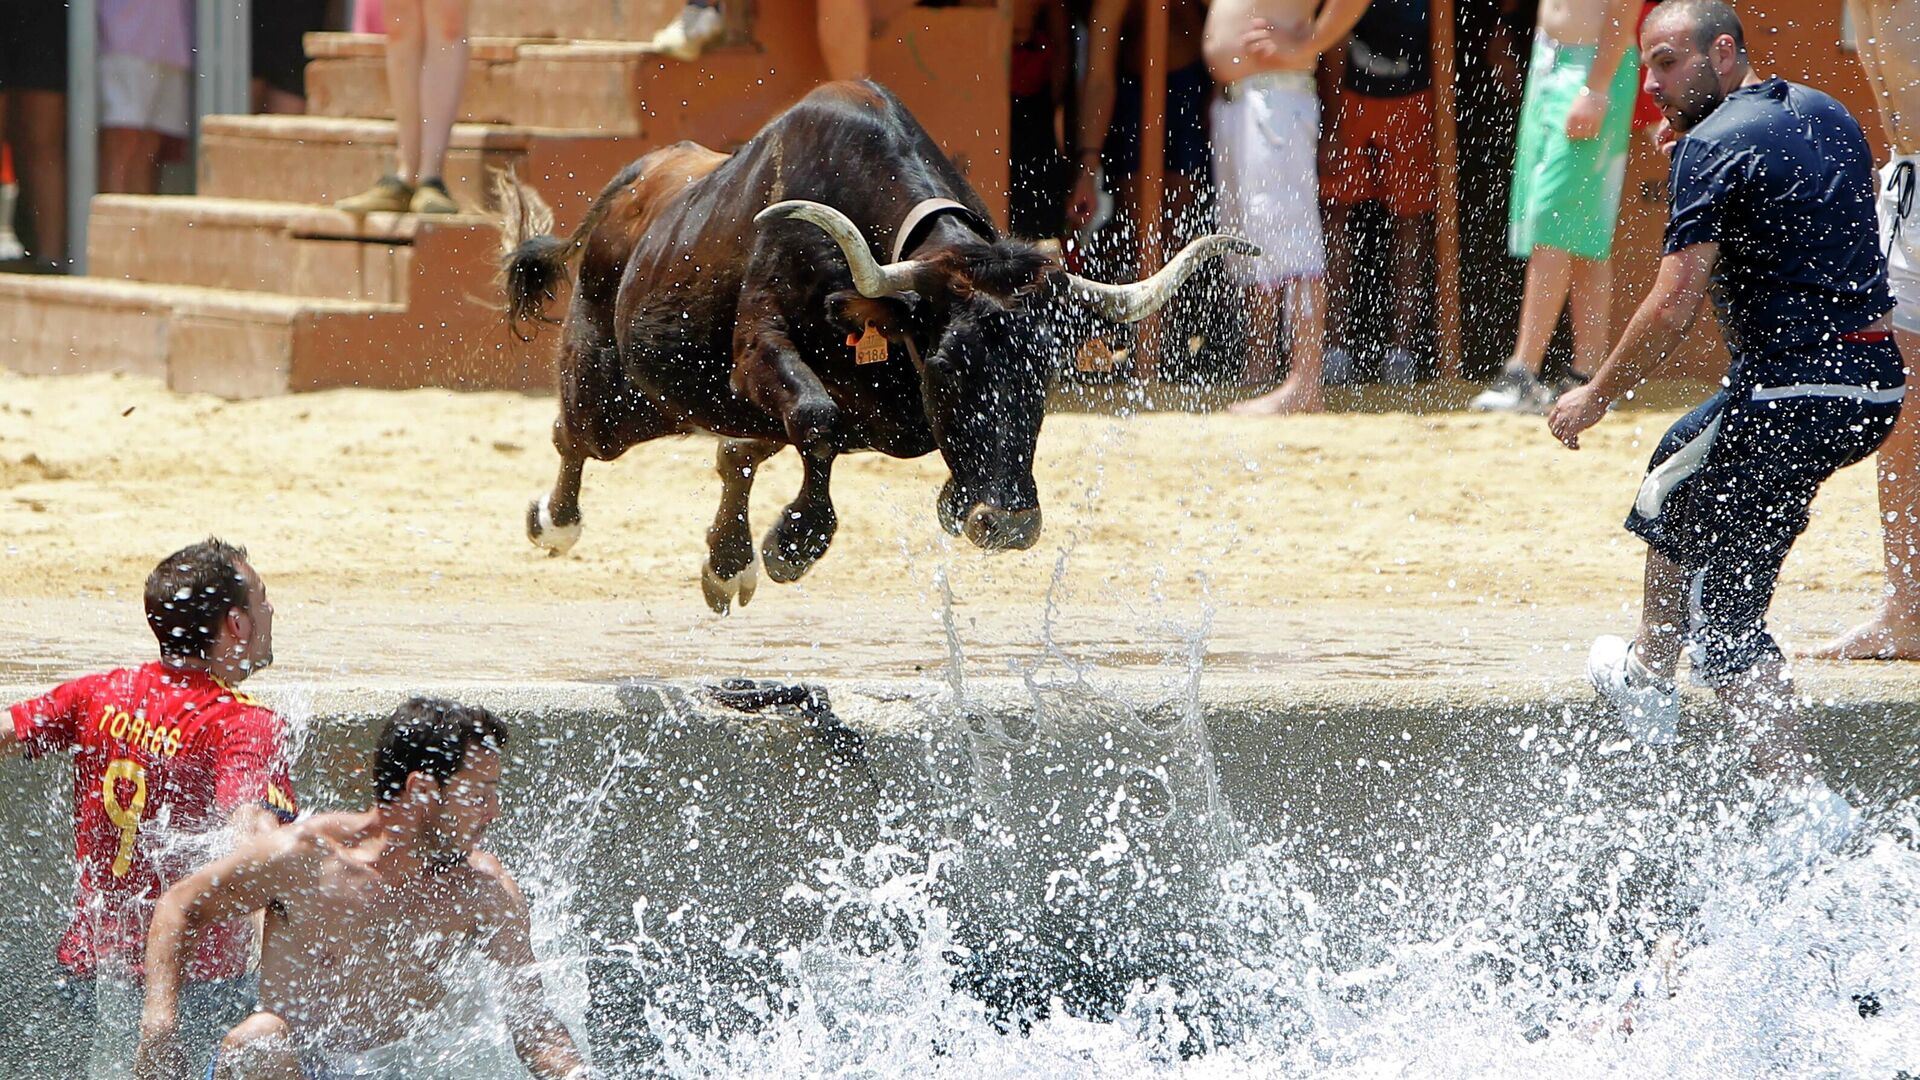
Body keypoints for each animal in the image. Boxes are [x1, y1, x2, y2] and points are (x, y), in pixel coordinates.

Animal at [495, 79, 1251, 611]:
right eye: (947, 367)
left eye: (1046, 373)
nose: (1007, 523)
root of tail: (632, 186)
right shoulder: (759, 349)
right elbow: (817, 417)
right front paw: (795, 541)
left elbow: (797, 439)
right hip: (618, 396)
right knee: (573, 435)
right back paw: (554, 522)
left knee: (734, 453)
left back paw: (726, 562)